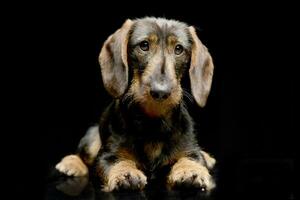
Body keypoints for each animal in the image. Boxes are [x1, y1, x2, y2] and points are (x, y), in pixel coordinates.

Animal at [55, 16, 216, 192]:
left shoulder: (191, 150)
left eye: (178, 49)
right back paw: (71, 163)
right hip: (91, 137)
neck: (153, 121)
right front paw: (125, 173)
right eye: (144, 45)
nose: (160, 91)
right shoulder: (106, 156)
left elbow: (192, 159)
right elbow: (115, 162)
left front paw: (190, 170)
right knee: (83, 154)